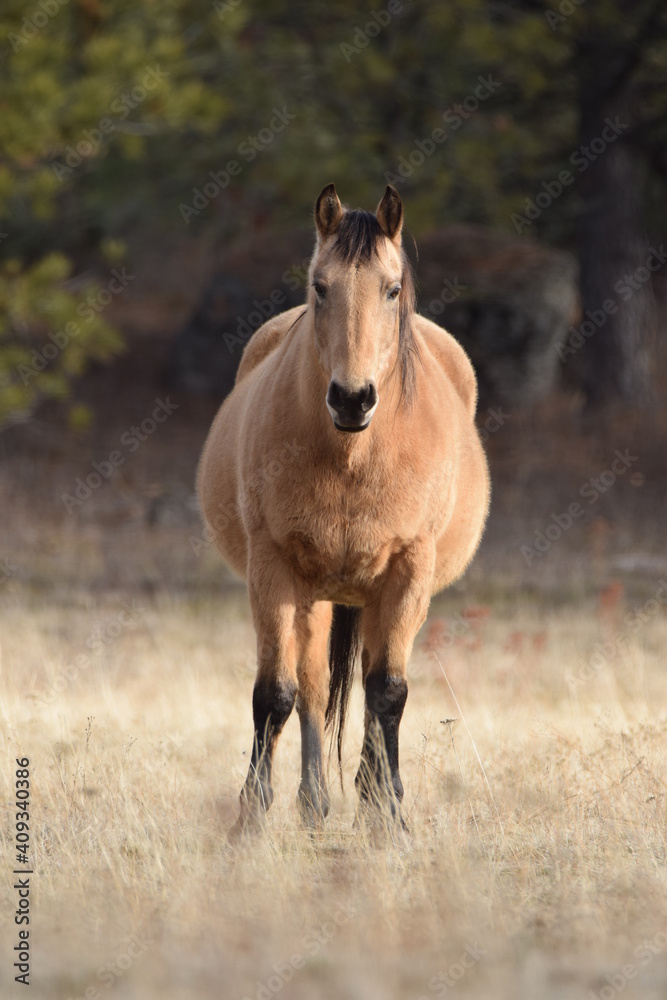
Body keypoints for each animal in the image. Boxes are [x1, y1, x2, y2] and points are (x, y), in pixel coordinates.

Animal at [198, 184, 490, 832]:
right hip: (314, 595)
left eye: (392, 288)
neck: (354, 456)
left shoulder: (408, 573)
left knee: (369, 688)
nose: (352, 399)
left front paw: (390, 814)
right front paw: (249, 819)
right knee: (309, 687)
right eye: (320, 285)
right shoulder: (274, 569)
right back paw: (313, 803)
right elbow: (275, 693)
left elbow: (388, 692)